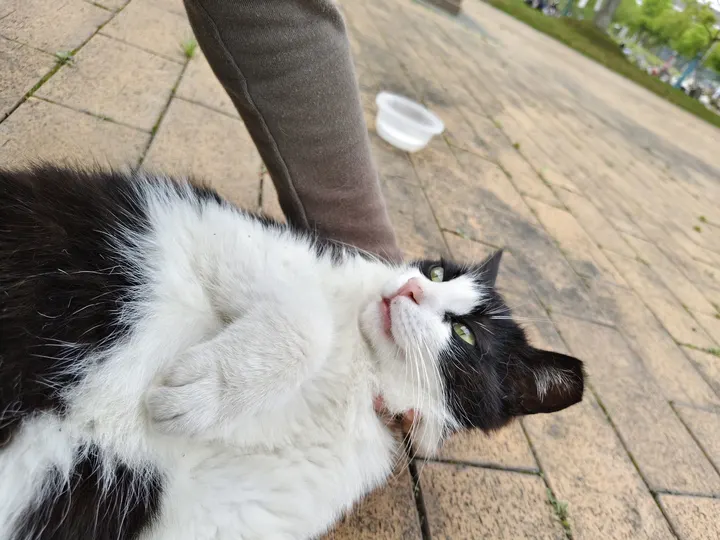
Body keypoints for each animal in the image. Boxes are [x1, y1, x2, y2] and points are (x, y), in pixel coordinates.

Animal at [0, 165, 584, 540]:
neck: (360, 369)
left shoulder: (236, 511)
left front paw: (197, 393)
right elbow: (309, 323)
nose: (411, 289)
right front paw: (202, 392)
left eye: (465, 335)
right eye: (439, 272)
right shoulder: (202, 224)